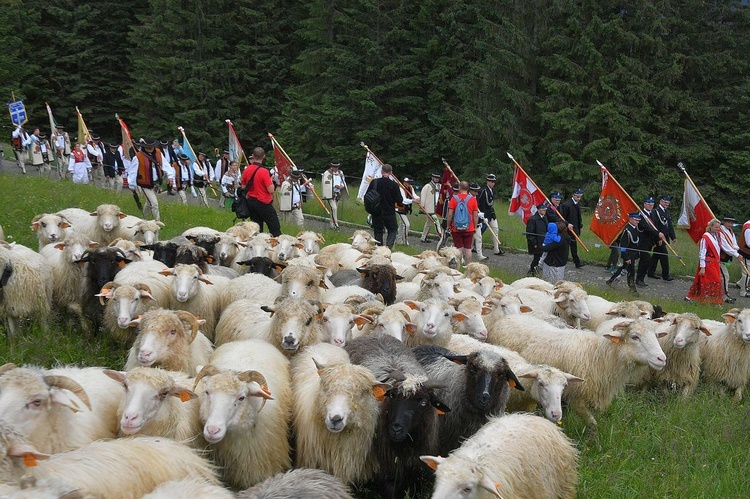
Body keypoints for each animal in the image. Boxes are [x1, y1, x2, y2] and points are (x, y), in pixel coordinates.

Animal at [490, 316, 668, 430]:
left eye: (656, 335)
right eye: (635, 336)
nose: (662, 358)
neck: (599, 355)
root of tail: (507, 318)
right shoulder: (578, 397)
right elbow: (592, 425)